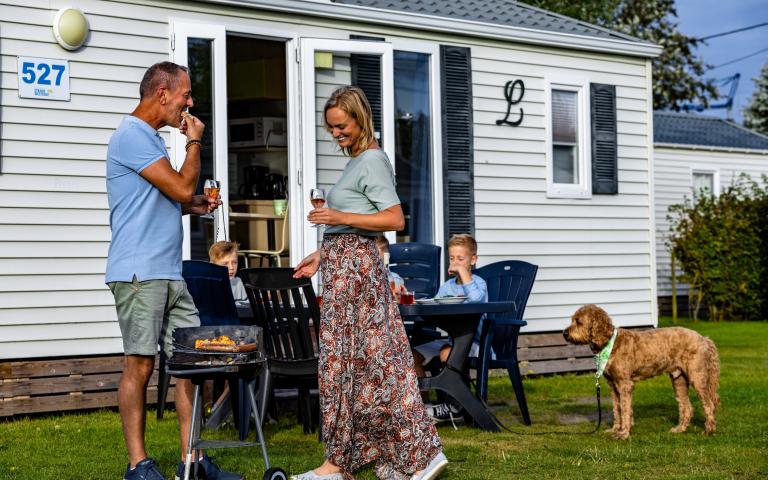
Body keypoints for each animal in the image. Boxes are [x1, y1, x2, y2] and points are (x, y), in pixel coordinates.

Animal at [560, 306, 716, 440]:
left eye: (579, 321)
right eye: (572, 319)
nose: (564, 333)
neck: (610, 343)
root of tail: (704, 339)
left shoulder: (624, 383)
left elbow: (625, 408)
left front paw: (623, 433)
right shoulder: (613, 385)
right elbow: (617, 409)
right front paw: (615, 429)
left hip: (698, 376)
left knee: (709, 404)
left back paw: (708, 431)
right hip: (679, 379)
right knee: (686, 406)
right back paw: (680, 429)